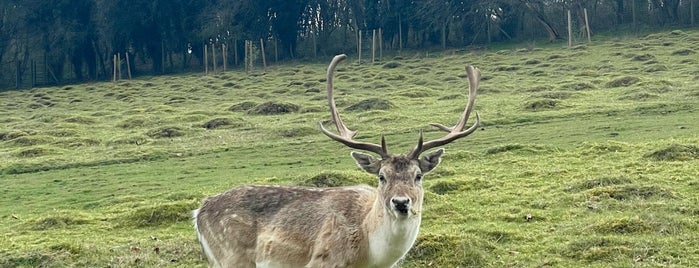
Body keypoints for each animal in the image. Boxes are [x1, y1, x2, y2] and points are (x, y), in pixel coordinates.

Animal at [193, 54, 482, 268]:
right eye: (382, 176)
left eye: (418, 175)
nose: (401, 202)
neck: (370, 257)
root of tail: (199, 211)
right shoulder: (322, 260)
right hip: (232, 256)